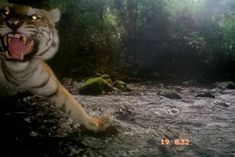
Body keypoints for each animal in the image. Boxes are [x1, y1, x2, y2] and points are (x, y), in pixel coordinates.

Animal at [0, 3, 113, 132]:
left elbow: (73, 105)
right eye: (5, 12)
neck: (19, 72)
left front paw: (96, 122)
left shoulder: (53, 87)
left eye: (34, 17)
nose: (13, 23)